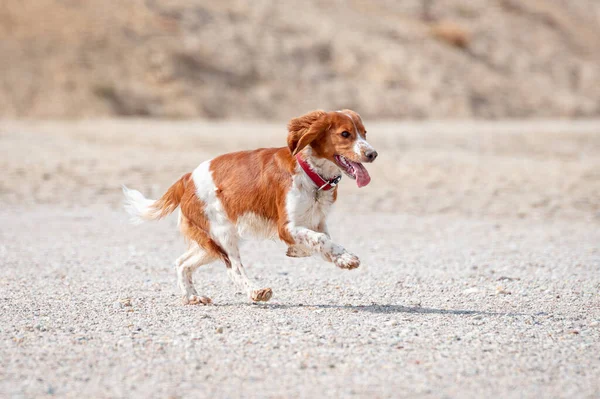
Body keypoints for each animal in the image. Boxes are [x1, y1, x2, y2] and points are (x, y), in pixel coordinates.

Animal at [121, 111, 376, 304]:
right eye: (345, 134)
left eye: (364, 133)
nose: (372, 154)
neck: (311, 172)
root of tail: (187, 178)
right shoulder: (286, 226)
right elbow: (321, 240)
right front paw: (347, 258)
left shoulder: (316, 222)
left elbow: (320, 241)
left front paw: (309, 253)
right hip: (223, 235)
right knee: (233, 269)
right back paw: (256, 291)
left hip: (210, 242)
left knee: (182, 263)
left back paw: (193, 297)